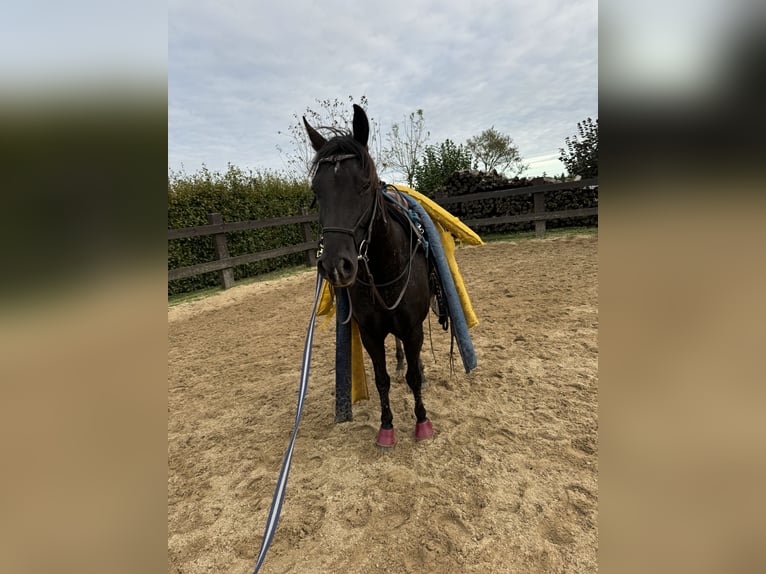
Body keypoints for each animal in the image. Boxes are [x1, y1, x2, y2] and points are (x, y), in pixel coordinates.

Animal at [308, 107, 438, 450]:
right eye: (316, 191)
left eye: (366, 184)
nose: (335, 265)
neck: (383, 271)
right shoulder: (370, 334)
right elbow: (381, 380)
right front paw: (386, 427)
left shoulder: (412, 327)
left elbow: (414, 378)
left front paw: (422, 422)